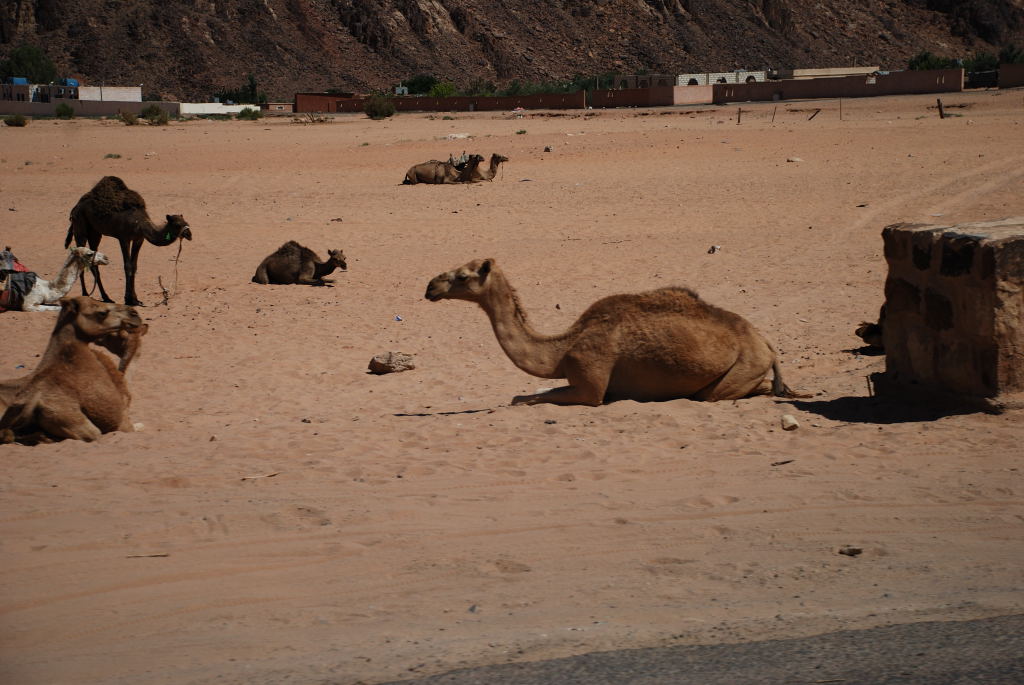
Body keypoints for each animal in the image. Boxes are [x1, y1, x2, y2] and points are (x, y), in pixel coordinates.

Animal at [65, 175, 192, 305]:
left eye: (186, 222)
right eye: (177, 225)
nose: (189, 234)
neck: (139, 223)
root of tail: (75, 207)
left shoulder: (139, 239)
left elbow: (134, 266)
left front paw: (135, 299)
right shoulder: (124, 238)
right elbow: (128, 266)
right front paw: (129, 299)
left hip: (95, 233)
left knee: (93, 260)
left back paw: (106, 297)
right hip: (80, 227)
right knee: (80, 256)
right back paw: (86, 294)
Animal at [423, 255, 798, 405]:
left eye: (463, 276)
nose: (430, 286)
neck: (561, 349)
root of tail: (765, 341)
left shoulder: (591, 385)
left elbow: (523, 399)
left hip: (746, 363)